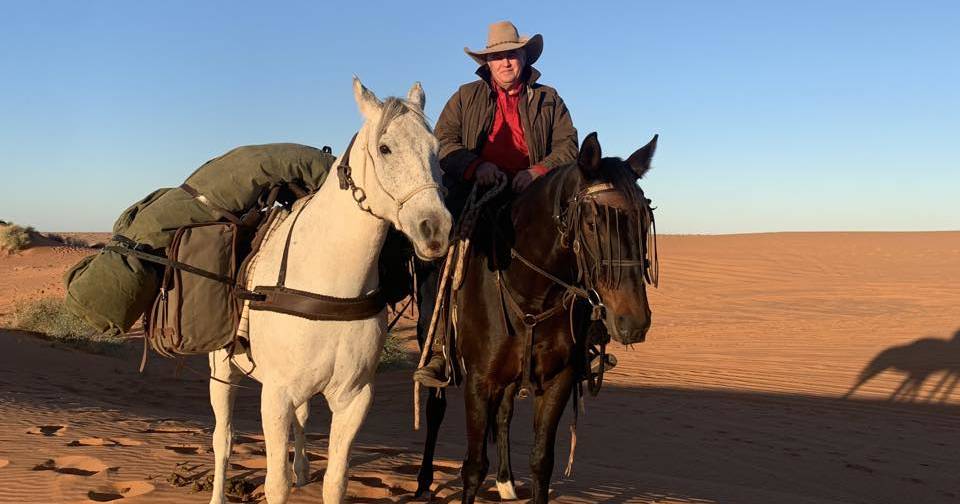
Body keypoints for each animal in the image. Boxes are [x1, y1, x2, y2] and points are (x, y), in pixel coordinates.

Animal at [205, 77, 450, 502]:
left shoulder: (354, 398)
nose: (435, 228)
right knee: (224, 439)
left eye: (435, 149)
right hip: (221, 369)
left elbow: (336, 480)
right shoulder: (276, 395)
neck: (329, 286)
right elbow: (276, 482)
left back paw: (303, 467)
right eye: (385, 148)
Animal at [416, 132, 656, 502]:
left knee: (504, 414)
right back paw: (424, 479)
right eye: (591, 224)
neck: (531, 291)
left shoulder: (559, 379)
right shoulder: (479, 381)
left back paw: (505, 481)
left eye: (645, 221)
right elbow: (473, 466)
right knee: (435, 410)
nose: (634, 321)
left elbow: (542, 461)